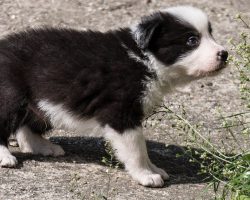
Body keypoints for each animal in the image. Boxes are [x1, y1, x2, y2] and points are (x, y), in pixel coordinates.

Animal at [0, 6, 227, 188]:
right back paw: (6, 157)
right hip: (11, 95)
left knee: (26, 128)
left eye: (211, 34)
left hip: (40, 101)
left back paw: (43, 146)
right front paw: (146, 175)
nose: (224, 54)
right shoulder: (120, 112)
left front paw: (154, 169)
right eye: (192, 40)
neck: (143, 58)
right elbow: (137, 149)